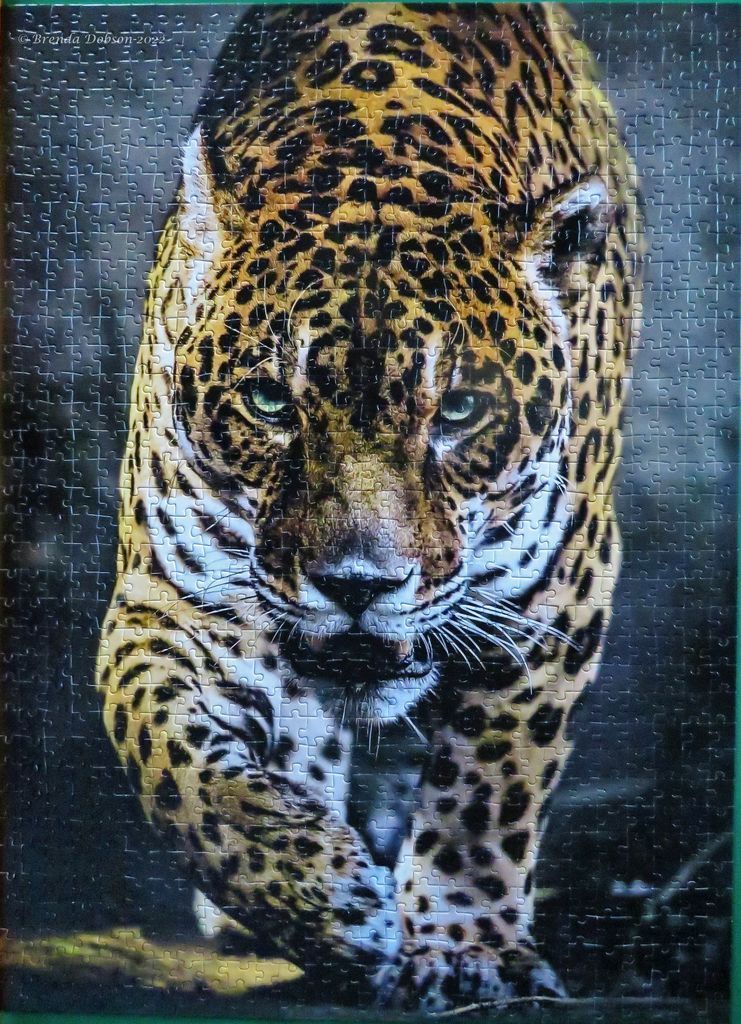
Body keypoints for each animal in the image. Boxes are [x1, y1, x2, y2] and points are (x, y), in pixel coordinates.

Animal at [97, 2, 643, 1013]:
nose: (357, 585)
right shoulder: (169, 605)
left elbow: (485, 790)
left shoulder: (553, 600)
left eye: (458, 411)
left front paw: (468, 948)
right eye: (270, 403)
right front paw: (327, 903)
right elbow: (177, 768)